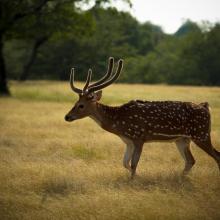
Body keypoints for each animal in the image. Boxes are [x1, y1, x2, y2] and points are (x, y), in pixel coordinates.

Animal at [65, 57, 220, 179]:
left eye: (81, 105)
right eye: (75, 103)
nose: (67, 117)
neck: (119, 123)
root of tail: (206, 107)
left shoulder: (139, 137)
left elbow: (134, 164)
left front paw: (133, 180)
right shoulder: (128, 141)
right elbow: (125, 163)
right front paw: (136, 177)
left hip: (201, 134)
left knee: (216, 155)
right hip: (182, 139)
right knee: (191, 160)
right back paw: (180, 178)